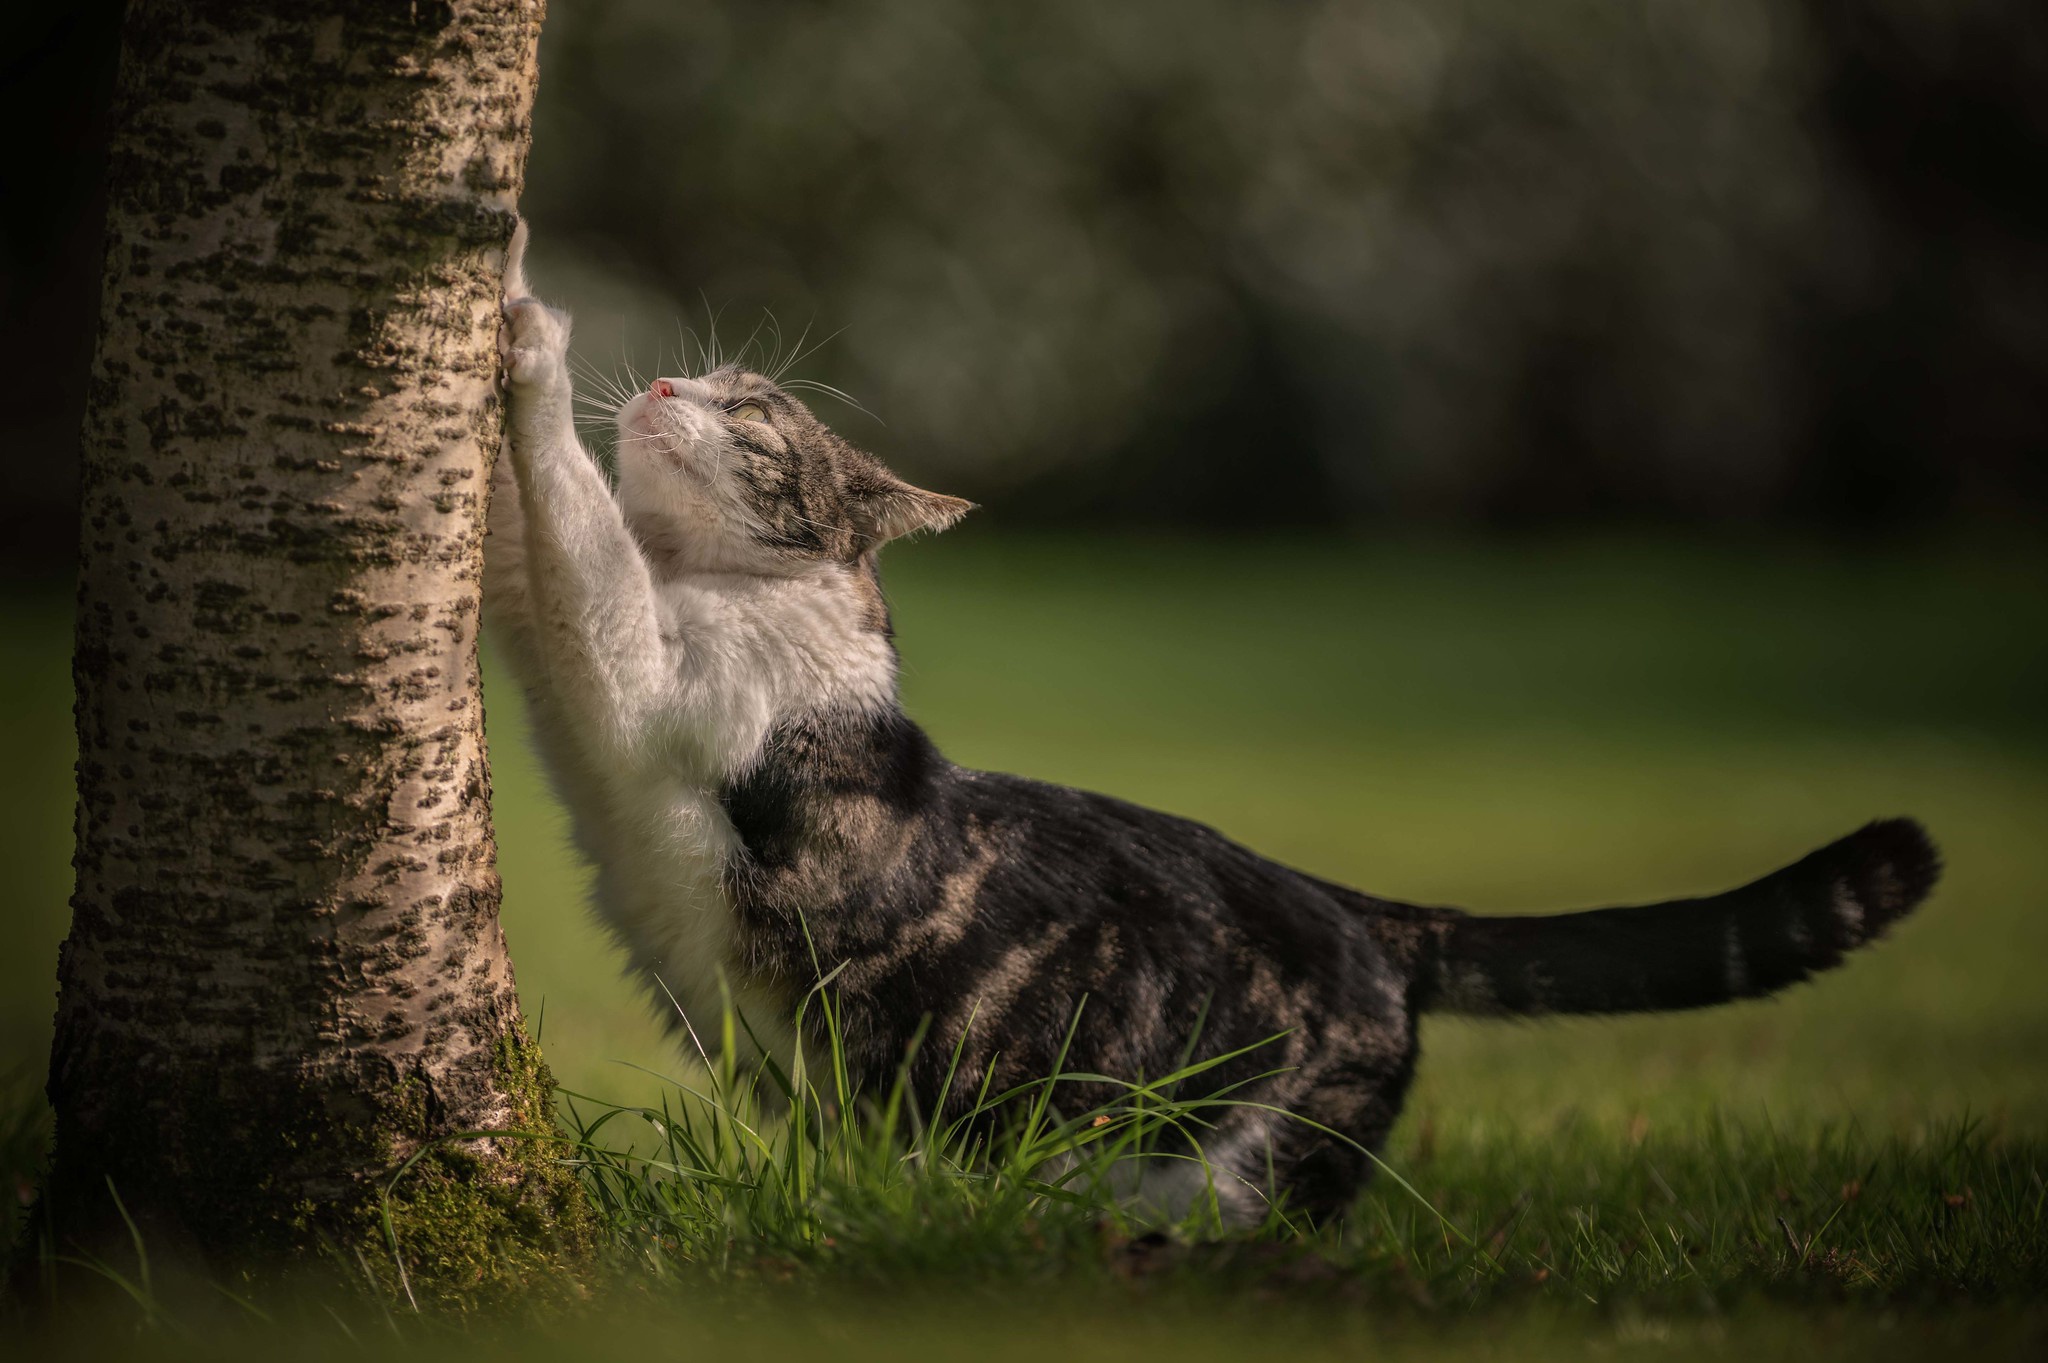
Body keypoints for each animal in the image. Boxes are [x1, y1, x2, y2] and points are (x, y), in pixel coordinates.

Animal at [487, 225, 1941, 1219]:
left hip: (1214, 1163)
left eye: (752, 411)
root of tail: (1368, 913)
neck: (715, 580)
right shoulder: (584, 681)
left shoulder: (643, 681)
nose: (664, 389)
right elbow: (532, 566)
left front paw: (530, 325)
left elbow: (577, 527)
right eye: (703, 384)